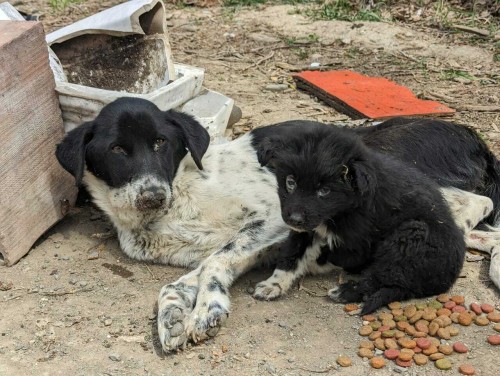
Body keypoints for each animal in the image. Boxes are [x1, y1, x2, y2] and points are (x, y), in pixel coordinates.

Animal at [258, 124, 468, 314]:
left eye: (324, 191)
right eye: (290, 182)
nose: (294, 219)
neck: (342, 210)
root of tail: (446, 280)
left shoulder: (358, 241)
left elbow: (340, 255)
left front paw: (316, 263)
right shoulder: (308, 227)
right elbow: (292, 253)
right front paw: (274, 284)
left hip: (412, 235)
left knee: (383, 277)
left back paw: (347, 291)